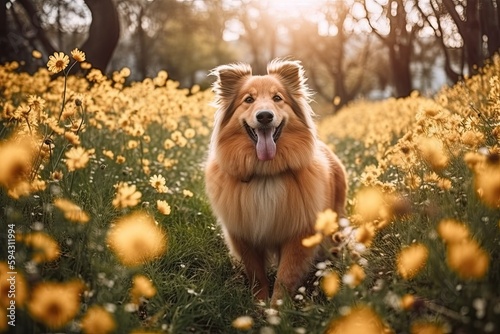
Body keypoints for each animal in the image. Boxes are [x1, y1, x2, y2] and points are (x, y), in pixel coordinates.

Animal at [204, 58, 348, 306]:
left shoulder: (298, 234)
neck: (265, 173)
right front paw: (260, 304)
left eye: (277, 98)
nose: (264, 116)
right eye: (249, 99)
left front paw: (277, 308)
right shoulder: (244, 235)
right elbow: (256, 274)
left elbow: (285, 276)